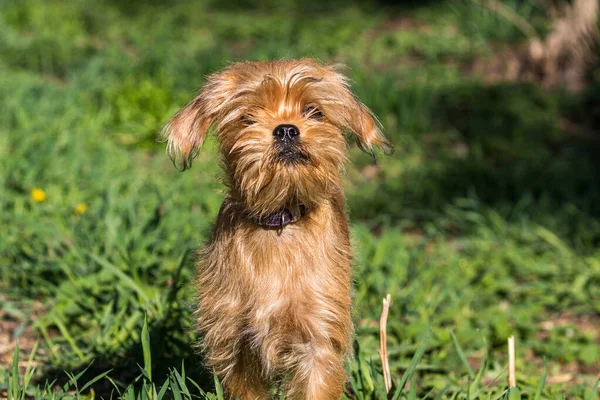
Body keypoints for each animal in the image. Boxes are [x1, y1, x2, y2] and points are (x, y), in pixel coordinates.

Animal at [162, 57, 392, 398]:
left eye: (314, 111)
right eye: (247, 118)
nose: (286, 129)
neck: (279, 222)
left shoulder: (318, 339)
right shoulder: (236, 342)